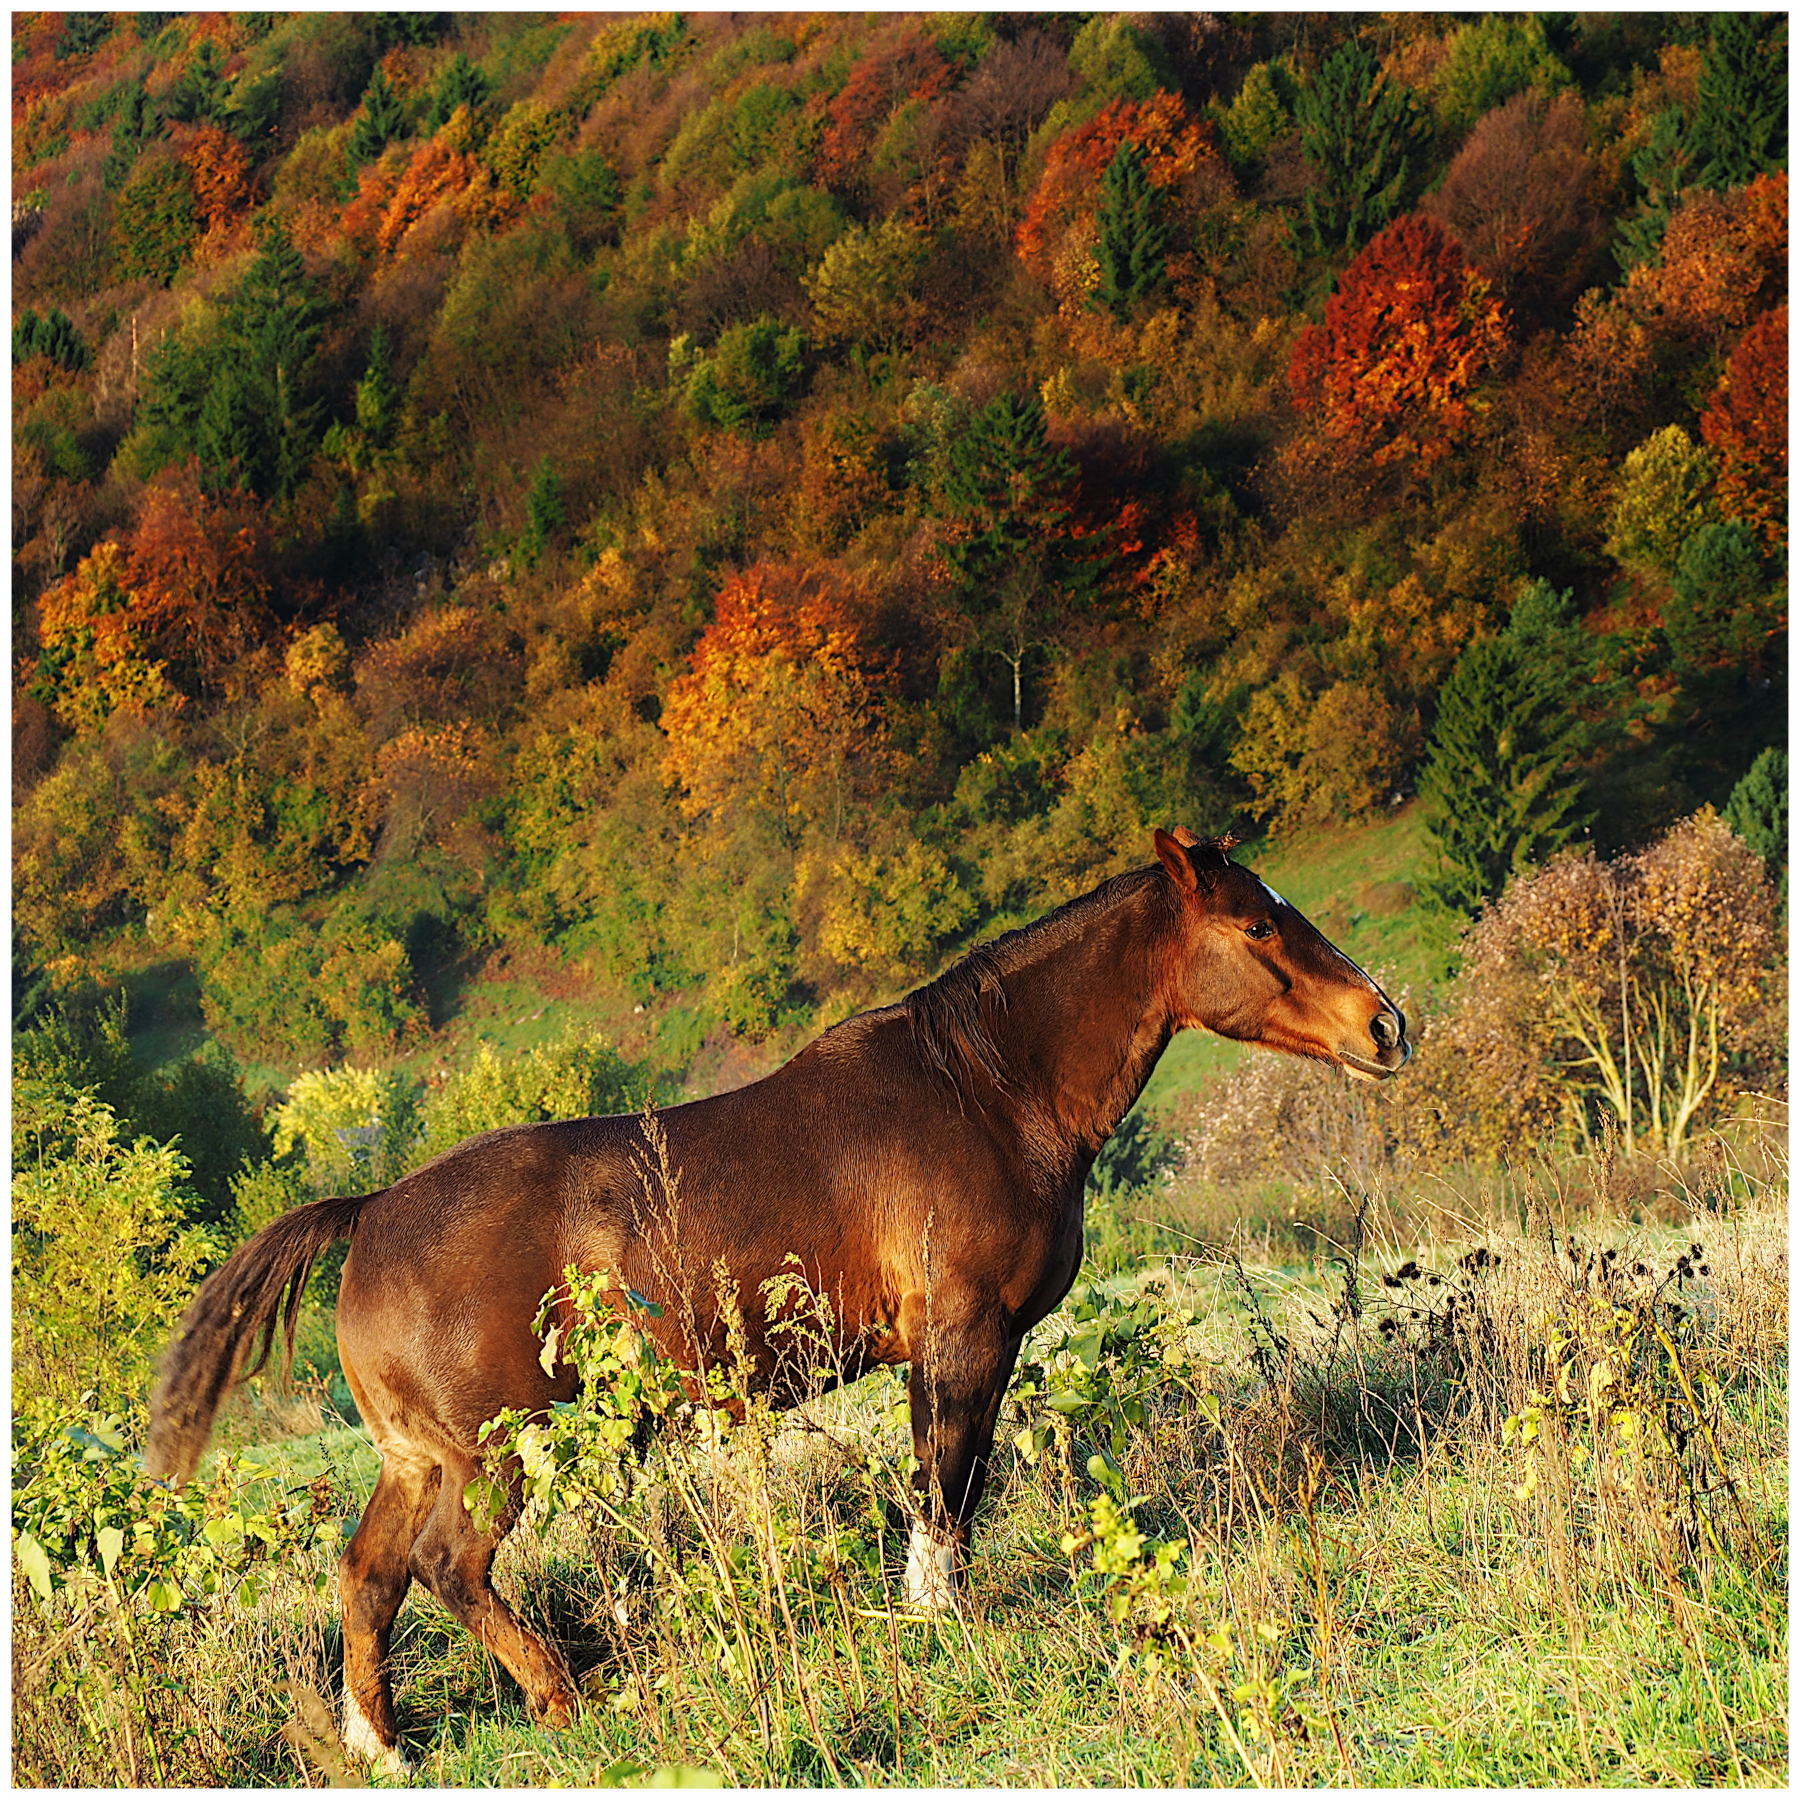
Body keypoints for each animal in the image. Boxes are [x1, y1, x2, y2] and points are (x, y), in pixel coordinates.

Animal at [146, 827, 1409, 1775]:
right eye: (1256, 926)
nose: (1385, 1023)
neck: (990, 1091)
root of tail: (370, 1210)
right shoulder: (963, 1339)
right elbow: (945, 1482)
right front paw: (939, 1615)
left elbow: (951, 1477)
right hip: (498, 1448)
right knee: (451, 1567)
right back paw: (561, 1698)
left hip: (420, 1456)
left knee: (370, 1575)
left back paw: (385, 1744)